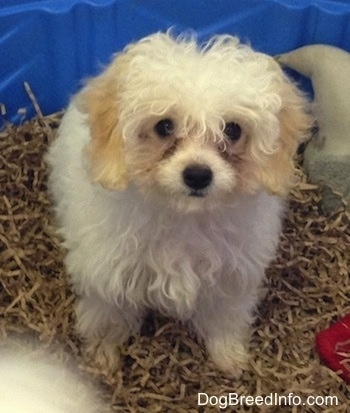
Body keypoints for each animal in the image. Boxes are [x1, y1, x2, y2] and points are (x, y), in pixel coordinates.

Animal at [47, 31, 310, 374]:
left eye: (232, 129)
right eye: (164, 126)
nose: (198, 175)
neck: (185, 218)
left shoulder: (232, 276)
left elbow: (225, 316)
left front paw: (228, 355)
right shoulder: (107, 273)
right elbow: (108, 315)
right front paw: (103, 355)